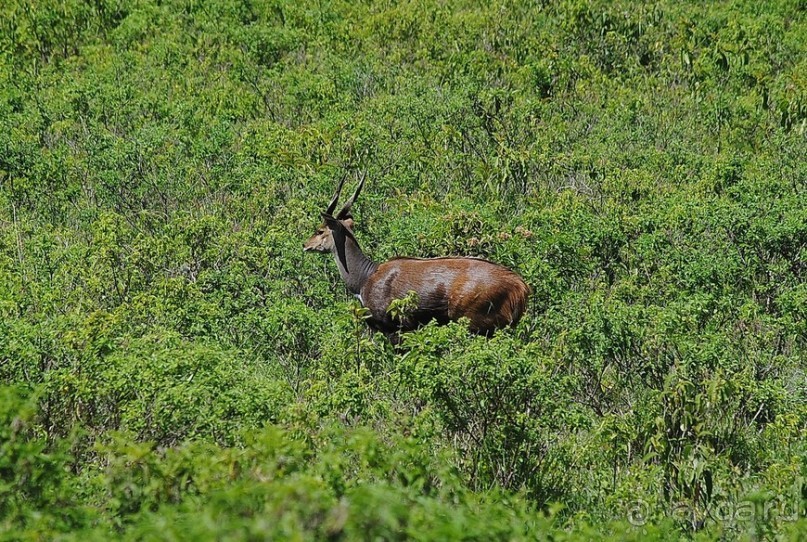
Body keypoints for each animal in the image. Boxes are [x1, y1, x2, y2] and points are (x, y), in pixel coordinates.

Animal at [304, 176, 532, 342]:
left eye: (320, 230)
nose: (305, 245)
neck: (364, 278)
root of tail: (520, 287)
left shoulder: (397, 327)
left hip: (476, 323)